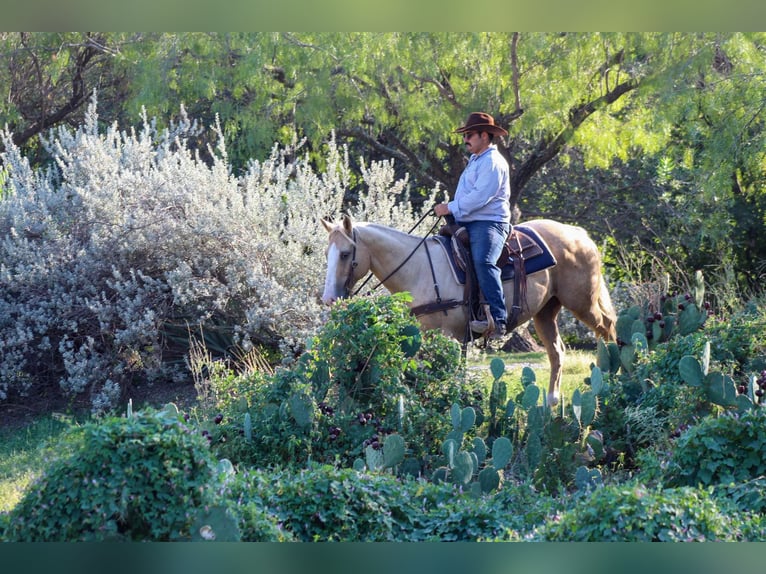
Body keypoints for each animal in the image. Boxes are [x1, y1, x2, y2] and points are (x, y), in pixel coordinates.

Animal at [320, 214, 620, 408]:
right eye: (327, 254)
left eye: (345, 254)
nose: (329, 299)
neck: (418, 270)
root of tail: (577, 233)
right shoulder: (419, 335)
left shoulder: (448, 337)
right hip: (545, 311)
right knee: (558, 351)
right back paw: (550, 401)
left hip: (583, 302)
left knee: (607, 330)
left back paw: (610, 384)